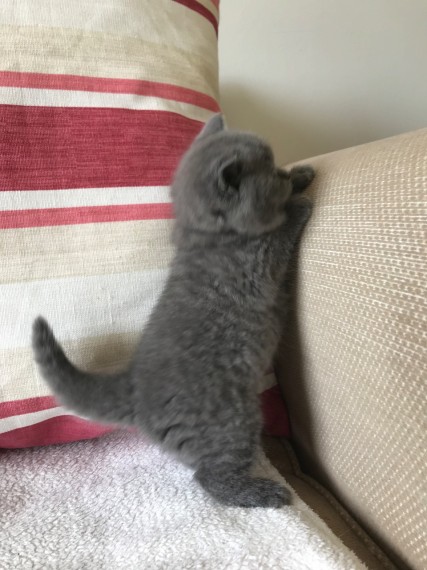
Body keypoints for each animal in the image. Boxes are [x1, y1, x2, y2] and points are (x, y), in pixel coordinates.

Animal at [32, 114, 314, 506]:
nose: (283, 174)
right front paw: (297, 203)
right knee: (210, 477)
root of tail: (134, 386)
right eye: (269, 174)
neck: (212, 234)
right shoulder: (257, 265)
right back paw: (264, 492)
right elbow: (281, 233)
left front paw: (301, 175)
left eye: (275, 166)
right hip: (232, 421)